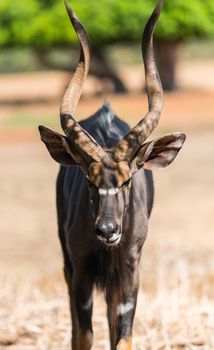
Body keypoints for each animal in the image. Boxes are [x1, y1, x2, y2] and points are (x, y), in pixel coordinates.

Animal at [38, 0, 186, 350]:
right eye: (89, 180)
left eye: (127, 179)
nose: (107, 230)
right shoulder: (80, 270)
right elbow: (83, 335)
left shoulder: (130, 271)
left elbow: (123, 336)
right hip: (69, 264)